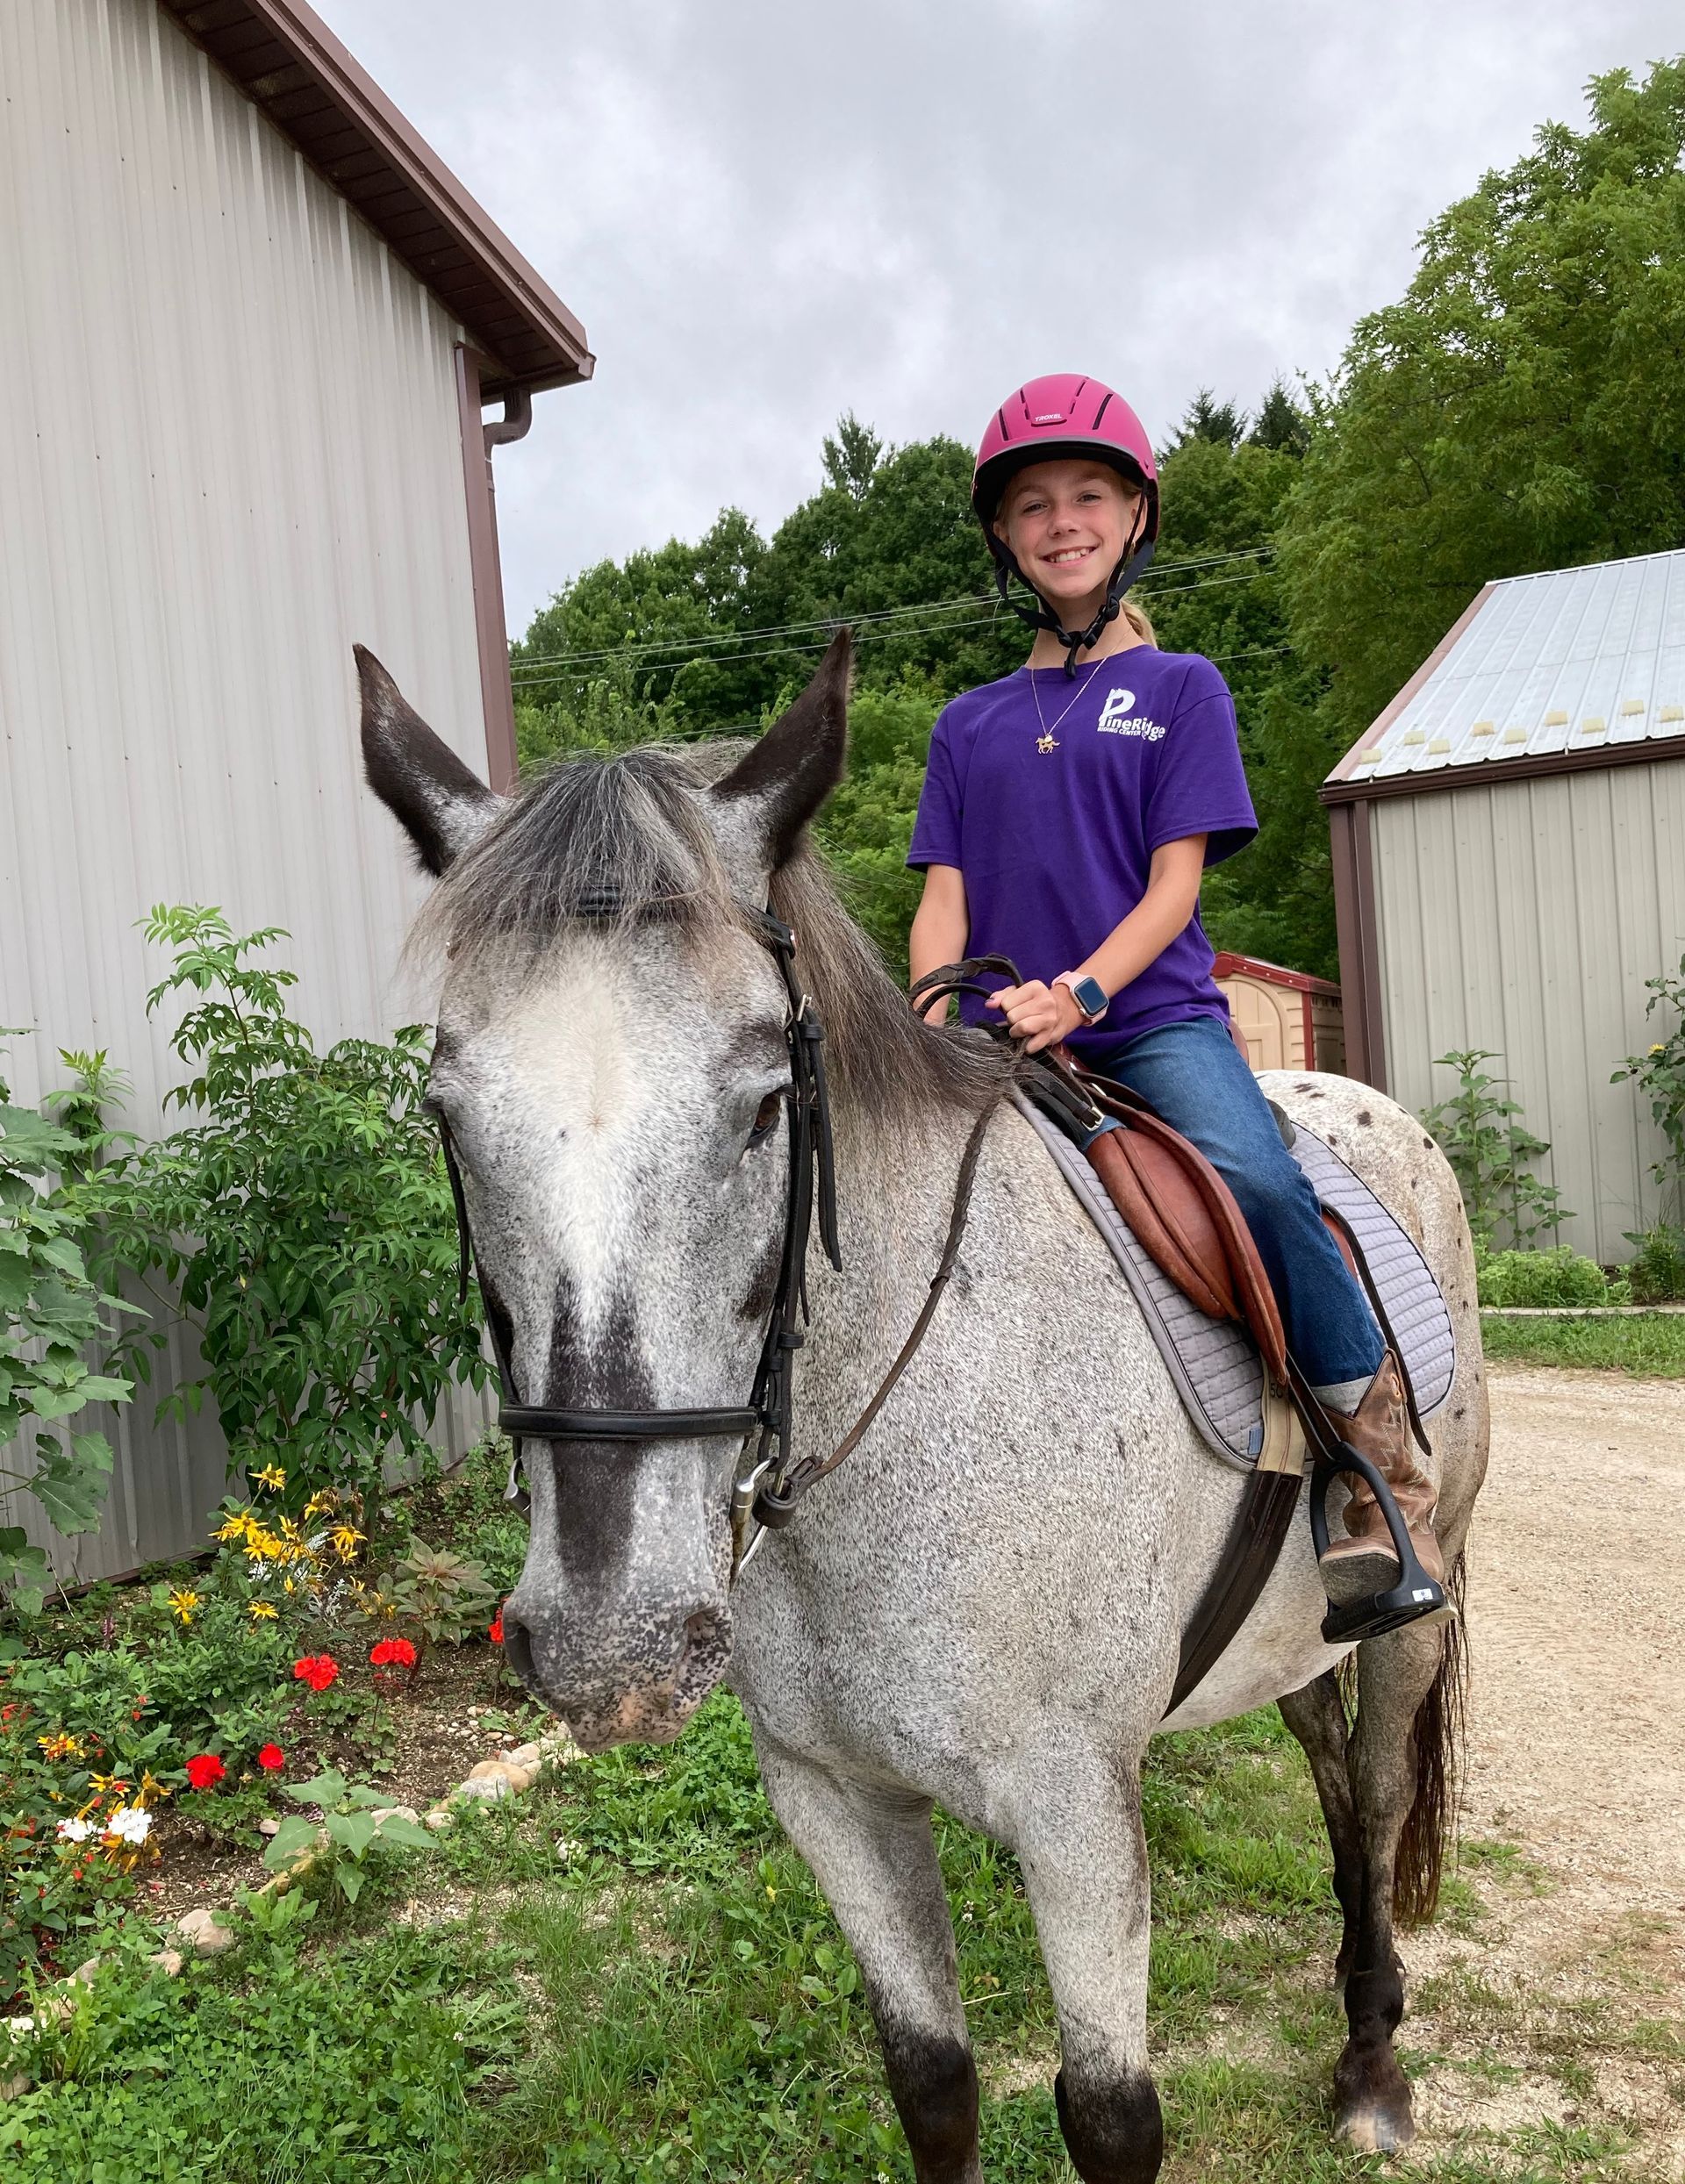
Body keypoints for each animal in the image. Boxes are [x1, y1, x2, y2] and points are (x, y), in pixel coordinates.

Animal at [358, 632, 1488, 2183]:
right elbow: (933, 2083)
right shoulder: (835, 1802)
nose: (612, 1648)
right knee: (1322, 1766)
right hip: (1288, 1634)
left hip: (1415, 1609)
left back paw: (1372, 2057)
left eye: (768, 1099)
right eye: (446, 1111)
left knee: (1371, 1802)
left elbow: (1110, 2117)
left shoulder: (1075, 1817)